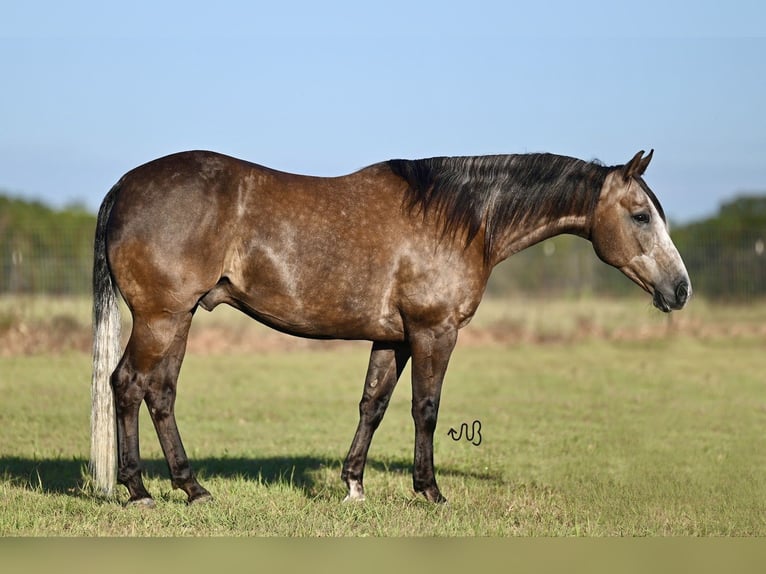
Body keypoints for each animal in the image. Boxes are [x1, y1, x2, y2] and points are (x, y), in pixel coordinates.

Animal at [88, 150, 688, 508]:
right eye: (641, 215)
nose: (679, 289)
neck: (462, 219)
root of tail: (124, 185)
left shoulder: (393, 338)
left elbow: (372, 405)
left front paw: (353, 484)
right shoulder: (433, 332)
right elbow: (426, 409)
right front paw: (430, 491)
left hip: (179, 318)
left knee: (160, 394)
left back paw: (192, 488)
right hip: (161, 318)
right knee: (128, 386)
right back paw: (139, 490)